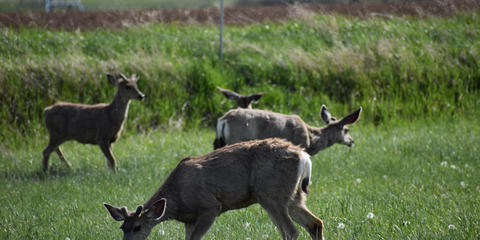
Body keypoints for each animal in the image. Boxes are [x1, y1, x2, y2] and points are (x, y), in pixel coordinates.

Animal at [103, 138, 324, 240]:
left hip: (271, 194)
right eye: (123, 228)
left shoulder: (210, 206)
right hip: (293, 196)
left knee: (291, 231)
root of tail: (305, 157)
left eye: (138, 227)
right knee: (315, 223)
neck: (178, 199)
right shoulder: (189, 219)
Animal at [213, 104, 360, 155]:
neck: (311, 138)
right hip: (236, 138)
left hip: (219, 142)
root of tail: (224, 119)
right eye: (346, 130)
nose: (352, 141)